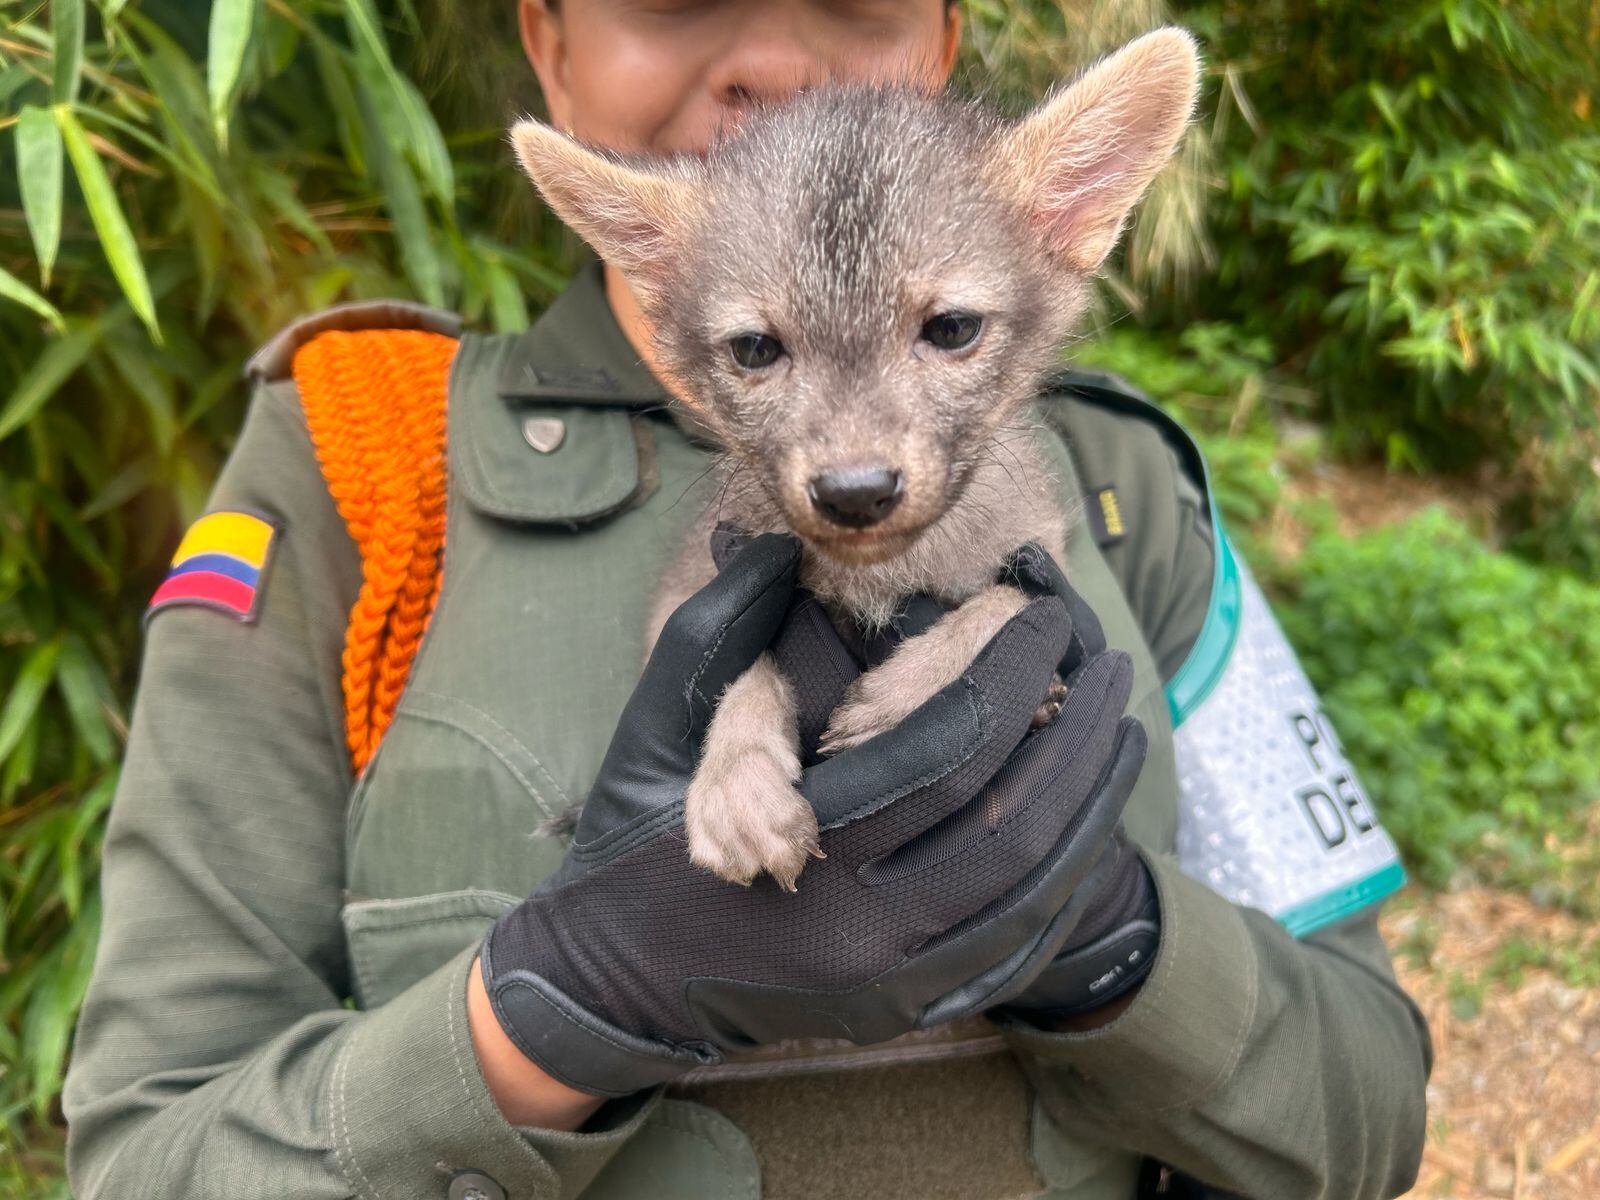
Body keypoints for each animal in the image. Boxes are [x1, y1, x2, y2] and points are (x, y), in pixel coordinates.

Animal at [510, 27, 1201, 891]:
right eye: (755, 348)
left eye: (952, 328)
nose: (855, 491)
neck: (879, 580)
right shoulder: (694, 589)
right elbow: (735, 663)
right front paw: (736, 774)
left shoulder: (1041, 548)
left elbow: (1014, 606)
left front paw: (912, 689)